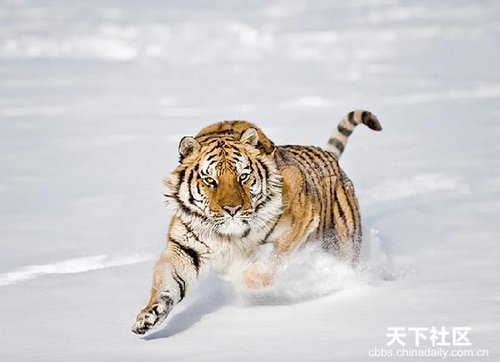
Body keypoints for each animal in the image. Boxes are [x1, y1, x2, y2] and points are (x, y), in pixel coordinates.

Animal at [131, 109, 380, 334]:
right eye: (210, 180)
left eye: (243, 176)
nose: (232, 209)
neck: (227, 235)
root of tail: (330, 157)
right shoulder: (183, 249)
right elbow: (165, 283)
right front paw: (147, 317)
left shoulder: (298, 223)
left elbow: (267, 267)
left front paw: (240, 278)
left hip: (343, 245)